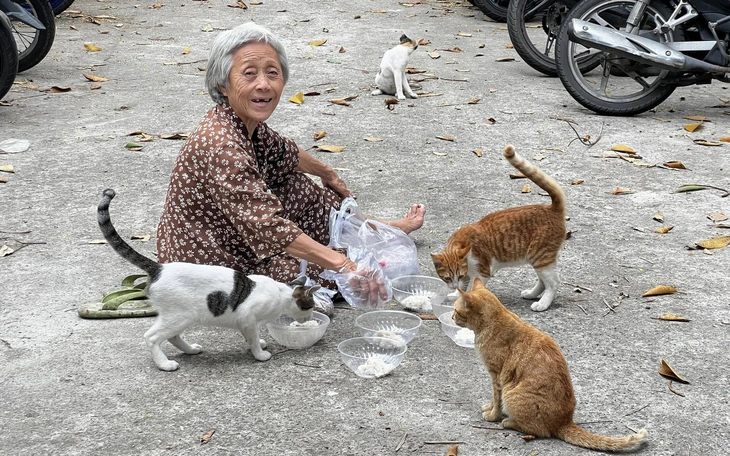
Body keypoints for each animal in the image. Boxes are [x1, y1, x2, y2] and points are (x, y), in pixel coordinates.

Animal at [97, 189, 318, 370]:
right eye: (310, 306)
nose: (309, 318)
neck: (281, 294)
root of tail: (159, 267)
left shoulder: (245, 322)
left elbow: (250, 336)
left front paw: (257, 345)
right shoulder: (247, 316)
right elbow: (253, 337)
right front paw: (260, 354)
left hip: (179, 317)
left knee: (173, 336)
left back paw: (190, 350)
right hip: (180, 315)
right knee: (151, 337)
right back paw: (165, 364)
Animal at [432, 144, 564, 312]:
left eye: (458, 275)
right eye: (447, 277)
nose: (453, 285)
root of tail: (551, 208)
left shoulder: (482, 272)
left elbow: (471, 288)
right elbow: (463, 287)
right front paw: (456, 294)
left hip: (540, 257)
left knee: (553, 283)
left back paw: (543, 303)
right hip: (539, 261)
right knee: (543, 281)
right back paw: (532, 294)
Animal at [452, 280, 644, 450]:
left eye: (455, 310)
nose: (452, 316)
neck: (494, 320)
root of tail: (565, 421)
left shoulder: (496, 376)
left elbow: (496, 399)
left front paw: (493, 415)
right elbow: (493, 399)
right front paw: (489, 407)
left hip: (512, 395)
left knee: (540, 431)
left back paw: (509, 422)